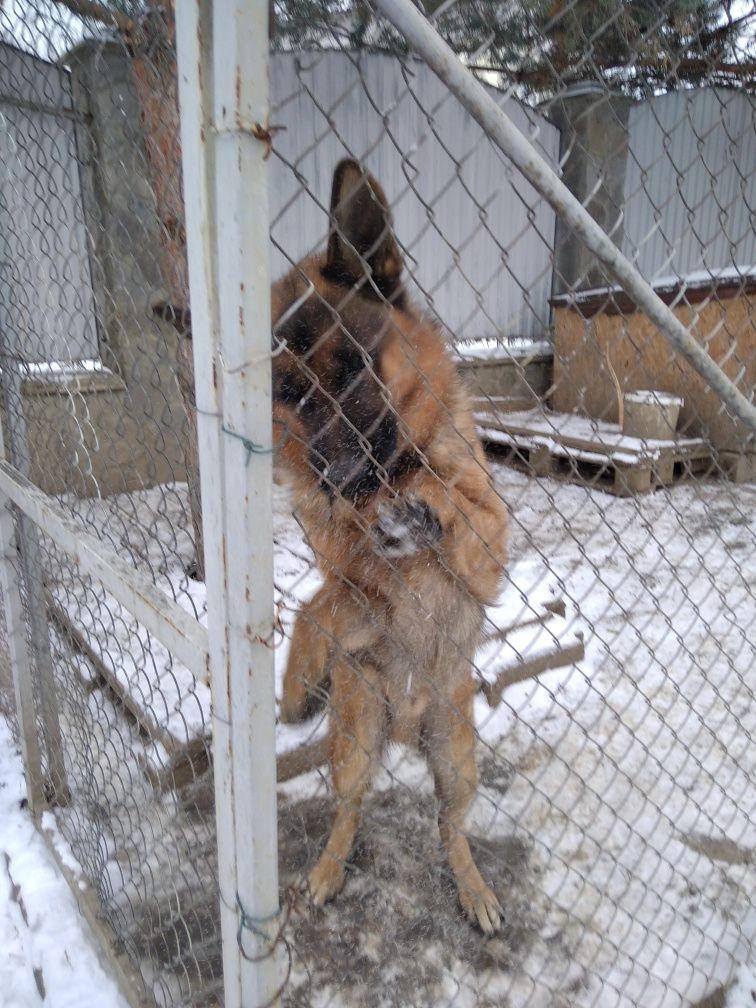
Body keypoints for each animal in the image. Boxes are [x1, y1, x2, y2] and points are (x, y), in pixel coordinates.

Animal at [272, 157, 510, 935]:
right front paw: (297, 683)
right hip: (354, 738)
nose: (329, 476)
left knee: (449, 824)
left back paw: (471, 886)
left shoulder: (491, 551)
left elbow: (461, 514)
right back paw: (326, 869)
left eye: (352, 368)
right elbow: (318, 602)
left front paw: (426, 515)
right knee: (348, 809)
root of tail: (407, 727)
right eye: (286, 391)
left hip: (457, 758)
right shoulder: (353, 581)